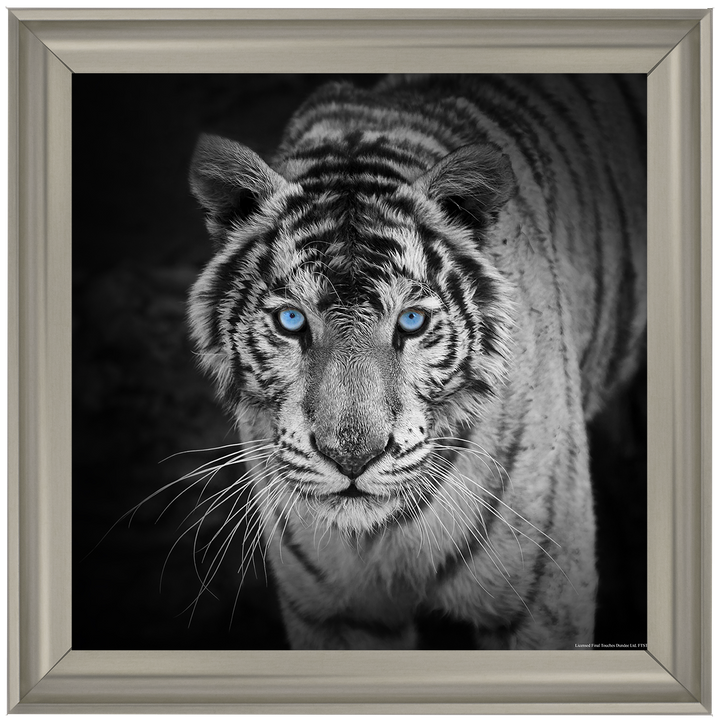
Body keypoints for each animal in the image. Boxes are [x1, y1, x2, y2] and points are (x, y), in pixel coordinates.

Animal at [186, 74, 646, 650]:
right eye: (292, 320)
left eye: (411, 322)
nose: (353, 458)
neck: (381, 536)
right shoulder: (336, 614)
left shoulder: (541, 605)